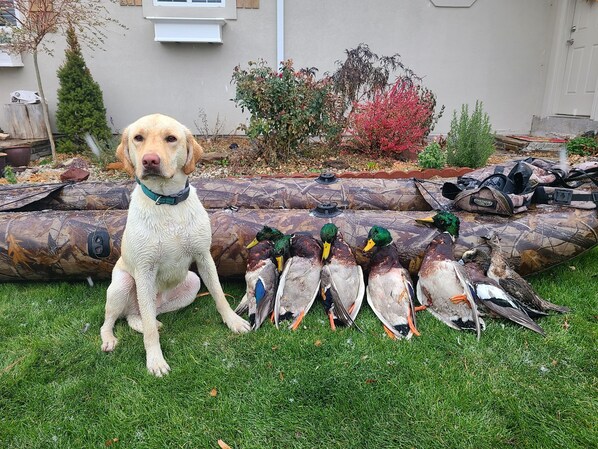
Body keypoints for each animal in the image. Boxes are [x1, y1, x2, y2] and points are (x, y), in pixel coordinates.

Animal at [99, 114, 250, 374]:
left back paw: (141, 321)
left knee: (143, 315)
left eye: (171, 138)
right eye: (138, 138)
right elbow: (149, 332)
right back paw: (109, 338)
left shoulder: (204, 258)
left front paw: (233, 321)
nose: (150, 160)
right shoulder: (144, 270)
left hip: (191, 283)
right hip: (123, 284)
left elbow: (219, 295)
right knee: (112, 320)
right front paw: (155, 360)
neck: (167, 203)